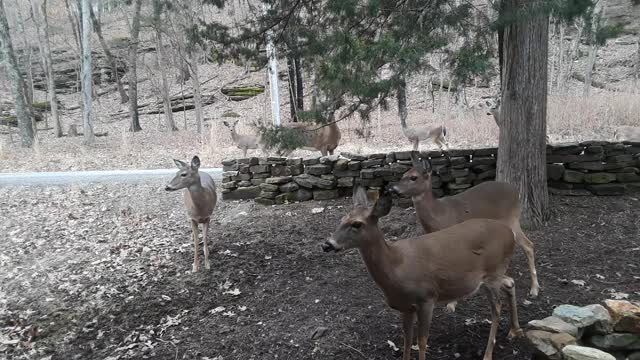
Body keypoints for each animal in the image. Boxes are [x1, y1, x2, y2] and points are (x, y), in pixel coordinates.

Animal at [322, 187, 524, 360]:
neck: (396, 267)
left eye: (357, 224)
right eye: (342, 218)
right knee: (510, 282)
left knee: (496, 308)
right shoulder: (406, 306)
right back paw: (515, 330)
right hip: (494, 274)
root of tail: (510, 234)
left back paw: (488, 353)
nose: (327, 244)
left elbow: (421, 341)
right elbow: (406, 339)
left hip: (492, 273)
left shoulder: (427, 298)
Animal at [390, 153, 540, 310]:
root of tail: (517, 192)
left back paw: (534, 289)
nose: (393, 189)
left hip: (511, 219)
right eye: (403, 174)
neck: (439, 214)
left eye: (413, 177)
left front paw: (451, 304)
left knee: (528, 245)